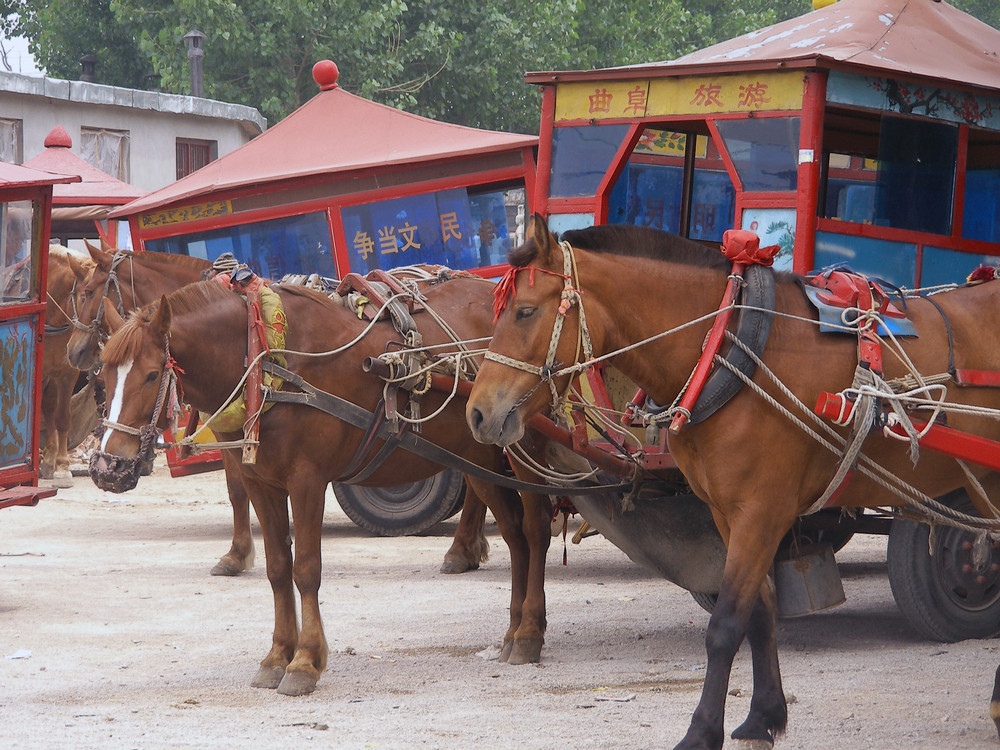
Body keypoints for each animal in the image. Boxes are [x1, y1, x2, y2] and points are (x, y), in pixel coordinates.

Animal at [95, 276, 556, 700]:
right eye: (102, 374)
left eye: (151, 375)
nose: (107, 467)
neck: (268, 362)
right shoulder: (261, 483)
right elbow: (278, 569)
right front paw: (277, 655)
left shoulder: (307, 481)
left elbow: (306, 570)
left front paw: (304, 661)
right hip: (478, 457)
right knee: (514, 535)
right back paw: (513, 628)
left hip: (522, 449)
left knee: (535, 531)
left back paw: (530, 631)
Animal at [462, 216, 1000, 750]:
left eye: (525, 311)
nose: (478, 413)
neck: (725, 347)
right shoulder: (728, 512)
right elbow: (759, 611)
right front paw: (763, 717)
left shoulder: (762, 510)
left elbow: (724, 625)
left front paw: (702, 731)